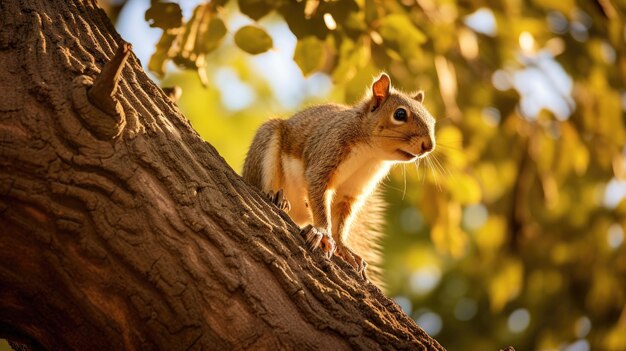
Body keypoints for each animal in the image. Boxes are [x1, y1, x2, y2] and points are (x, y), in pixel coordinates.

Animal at [243, 74, 434, 286]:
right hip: (266, 142)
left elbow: (341, 222)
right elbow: (318, 190)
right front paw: (322, 234)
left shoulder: (351, 192)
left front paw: (345, 249)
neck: (370, 153)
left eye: (432, 120)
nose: (429, 146)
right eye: (400, 114)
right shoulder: (329, 149)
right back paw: (276, 197)